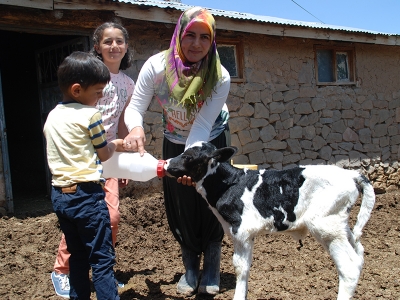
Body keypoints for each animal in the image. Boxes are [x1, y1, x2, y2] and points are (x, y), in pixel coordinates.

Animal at [165, 142, 376, 298]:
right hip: (340, 225)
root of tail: (351, 174)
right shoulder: (247, 234)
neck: (230, 184)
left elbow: (240, 267)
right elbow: (247, 265)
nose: (166, 163)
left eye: (188, 156)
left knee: (348, 266)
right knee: (359, 253)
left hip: (325, 225)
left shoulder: (241, 230)